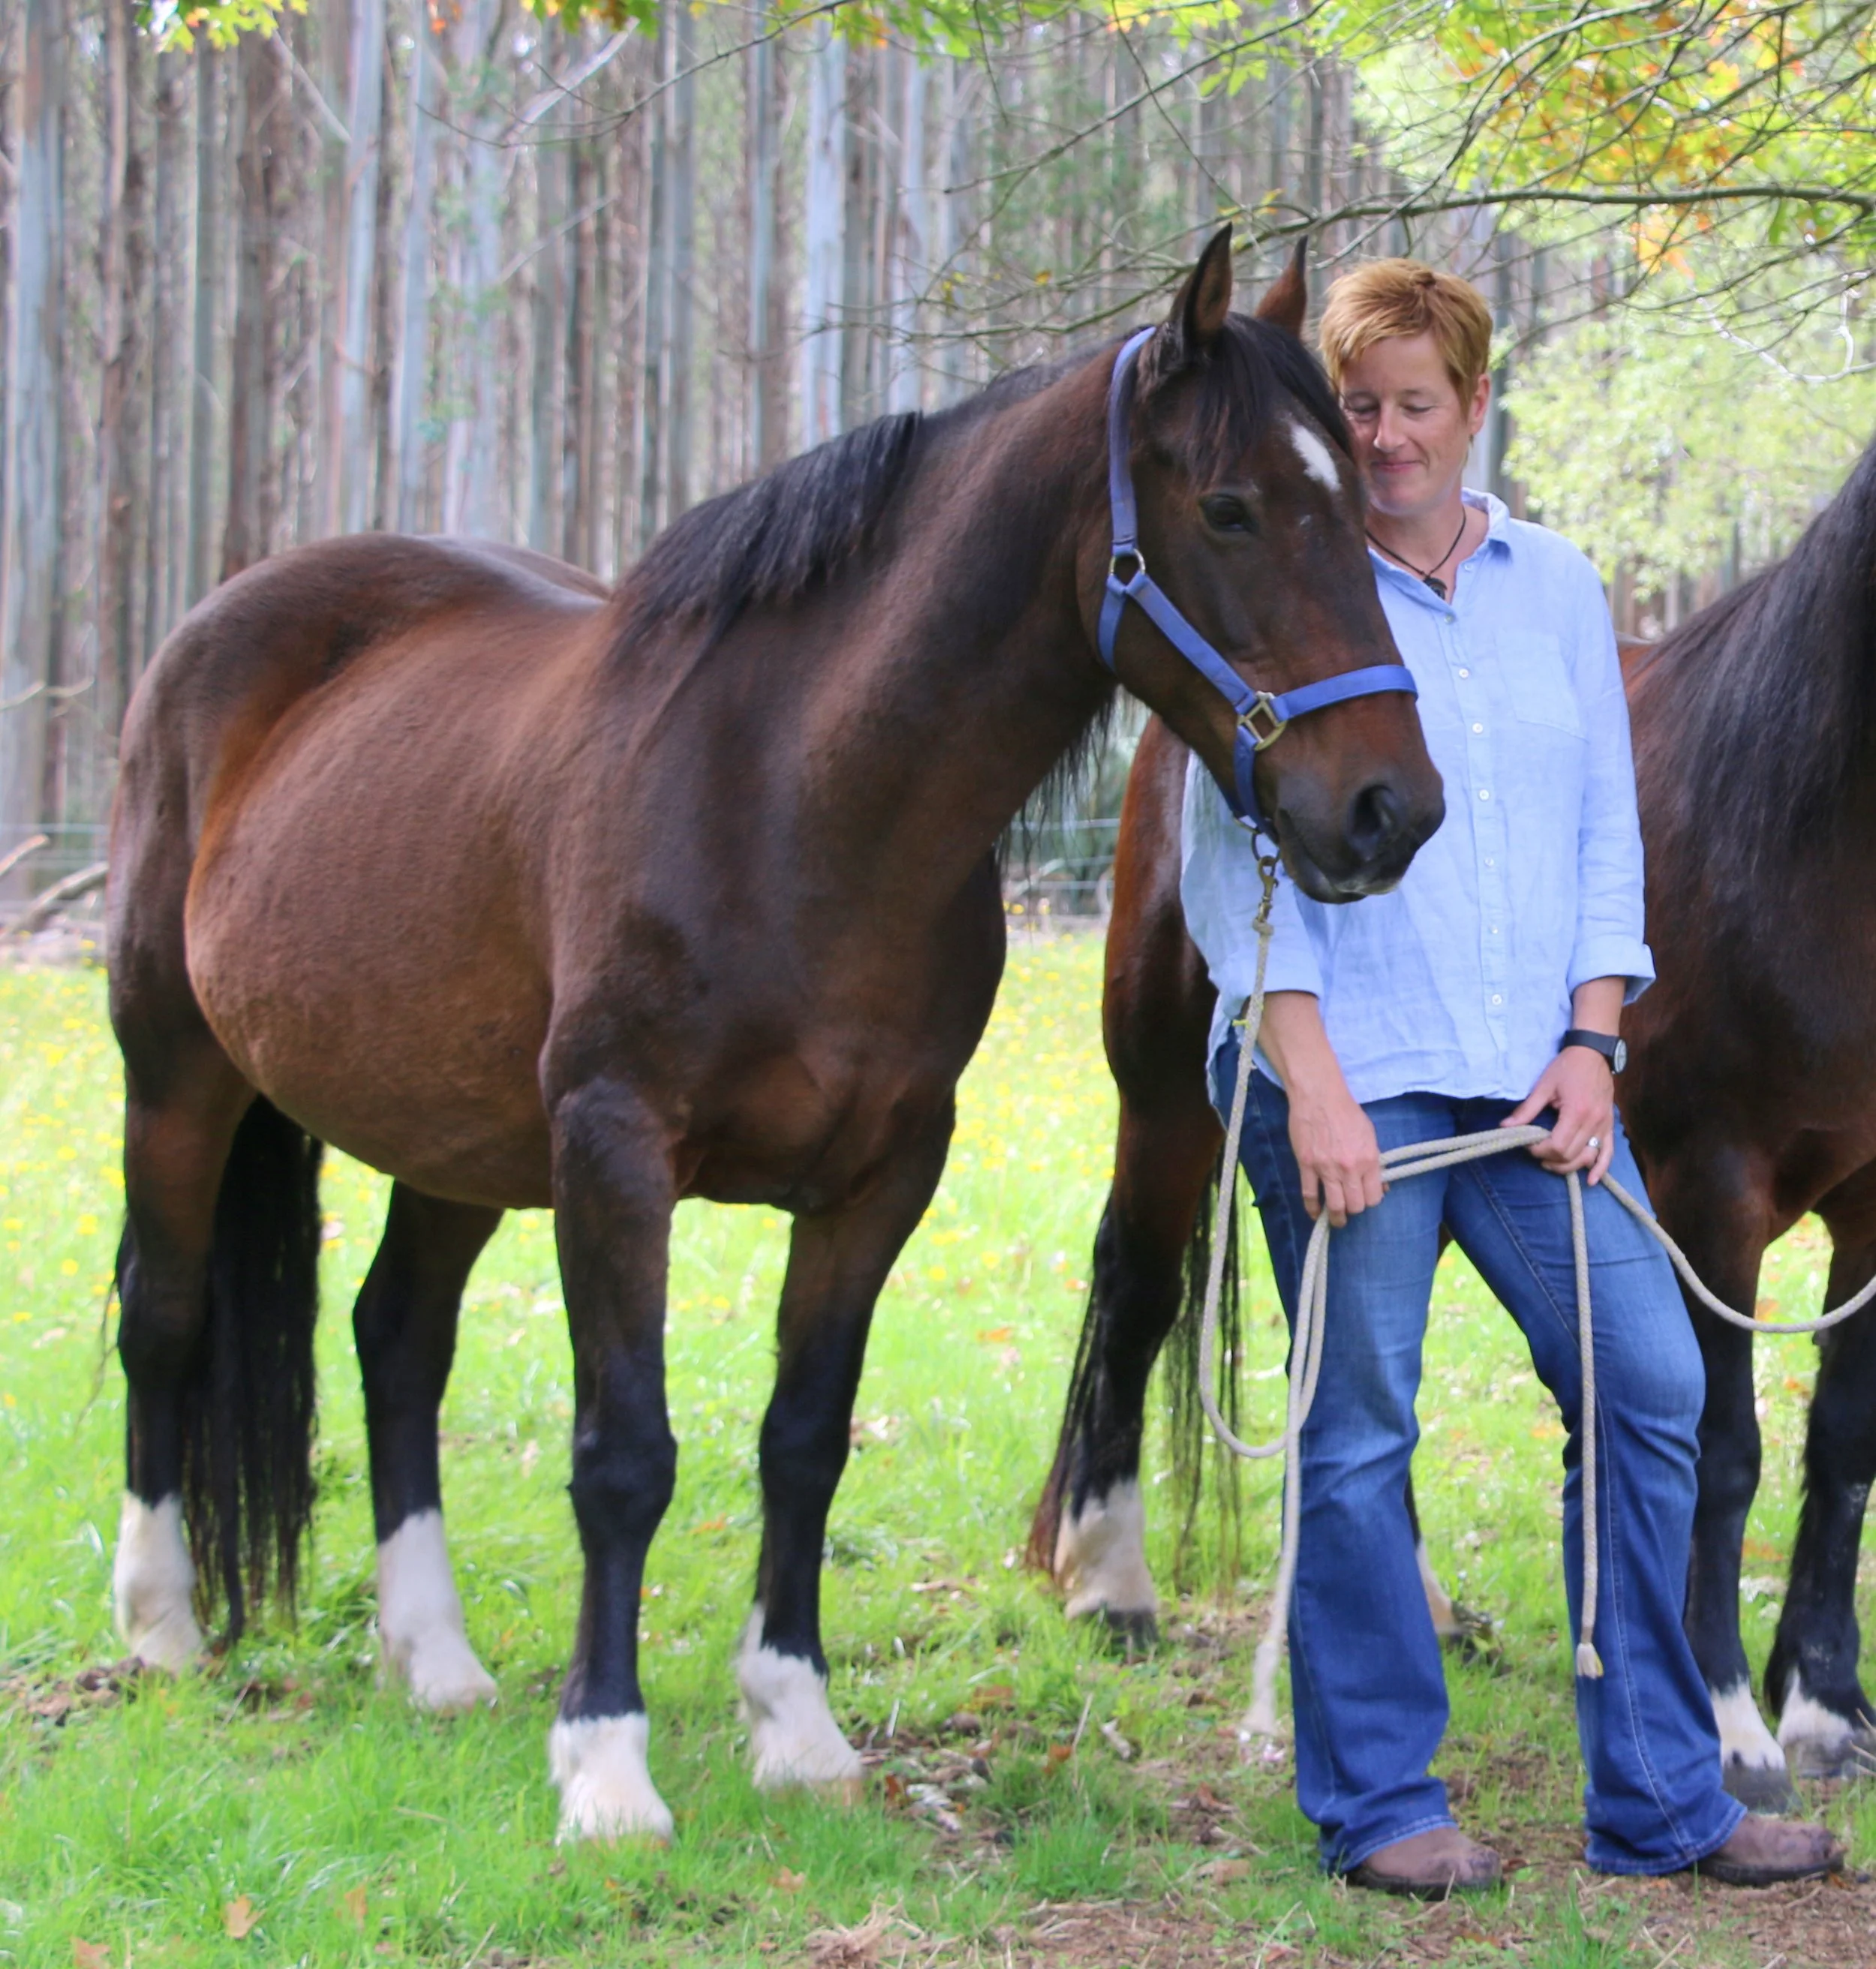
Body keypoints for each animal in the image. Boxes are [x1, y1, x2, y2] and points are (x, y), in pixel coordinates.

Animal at [102, 233, 1445, 1843]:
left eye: (1359, 502)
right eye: (1231, 507)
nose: (1390, 809)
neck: (794, 799)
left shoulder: (882, 1174)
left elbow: (804, 1436)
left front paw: (794, 1725)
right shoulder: (614, 1150)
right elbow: (626, 1454)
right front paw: (606, 1764)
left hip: (457, 1139)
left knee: (396, 1339)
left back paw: (434, 1656)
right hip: (177, 1073)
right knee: (166, 1314)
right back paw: (162, 1623)